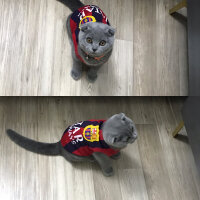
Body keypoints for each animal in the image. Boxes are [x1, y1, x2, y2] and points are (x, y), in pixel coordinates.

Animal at [6, 113, 138, 176]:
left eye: (132, 128)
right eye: (127, 138)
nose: (135, 137)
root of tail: (59, 144)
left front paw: (116, 155)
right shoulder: (98, 153)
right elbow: (105, 161)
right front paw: (109, 171)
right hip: (78, 155)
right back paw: (90, 159)